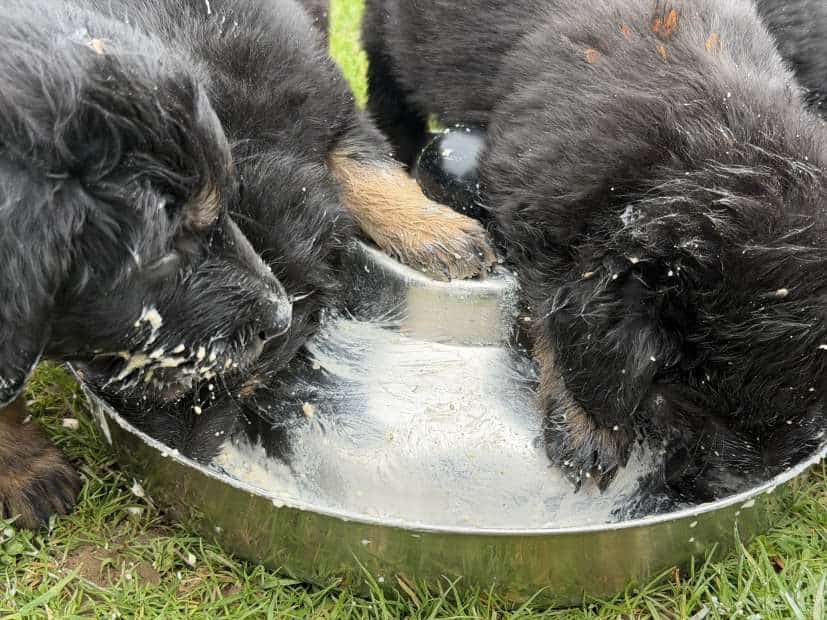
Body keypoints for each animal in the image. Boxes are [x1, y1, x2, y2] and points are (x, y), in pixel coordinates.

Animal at [1, 0, 494, 527]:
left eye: (247, 385)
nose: (184, 463)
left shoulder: (326, 97)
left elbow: (366, 161)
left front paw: (437, 231)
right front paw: (26, 470)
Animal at [365, 0, 827, 501]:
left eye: (806, 408)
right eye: (684, 399)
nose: (728, 487)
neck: (716, 134)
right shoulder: (536, 206)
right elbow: (557, 321)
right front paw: (589, 430)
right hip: (386, 35)